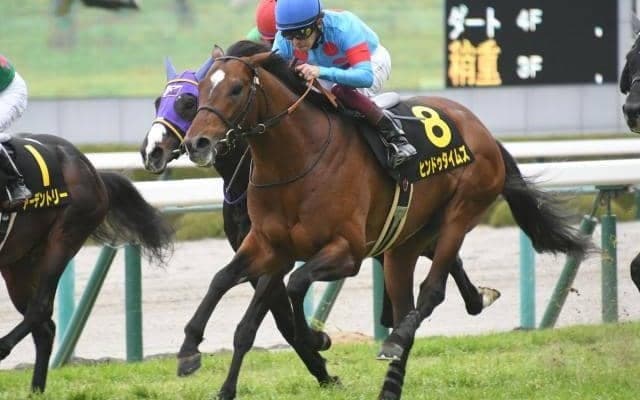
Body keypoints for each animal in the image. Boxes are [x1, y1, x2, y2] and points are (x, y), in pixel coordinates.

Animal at [0, 133, 174, 393]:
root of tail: (91, 169)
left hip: (65, 235)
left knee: (40, 309)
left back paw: (5, 350)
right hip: (17, 261)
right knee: (44, 327)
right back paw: (35, 391)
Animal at [182, 40, 590, 399]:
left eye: (236, 89)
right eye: (200, 90)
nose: (196, 143)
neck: (297, 161)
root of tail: (483, 130)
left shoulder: (345, 252)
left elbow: (296, 285)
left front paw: (318, 337)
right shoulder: (270, 247)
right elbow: (226, 289)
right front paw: (192, 355)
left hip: (461, 212)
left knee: (432, 291)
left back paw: (396, 339)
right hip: (405, 242)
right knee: (412, 298)